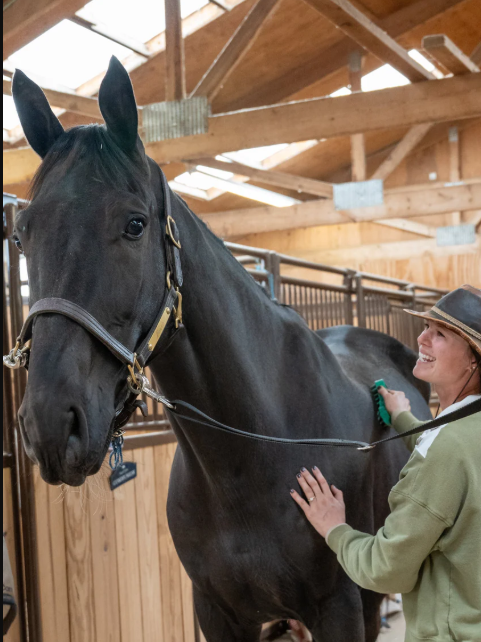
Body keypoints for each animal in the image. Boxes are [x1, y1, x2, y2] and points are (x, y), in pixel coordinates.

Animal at [11, 57, 431, 641]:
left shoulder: (340, 608)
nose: (50, 424)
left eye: (135, 224)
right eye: (22, 234)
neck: (250, 456)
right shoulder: (215, 610)